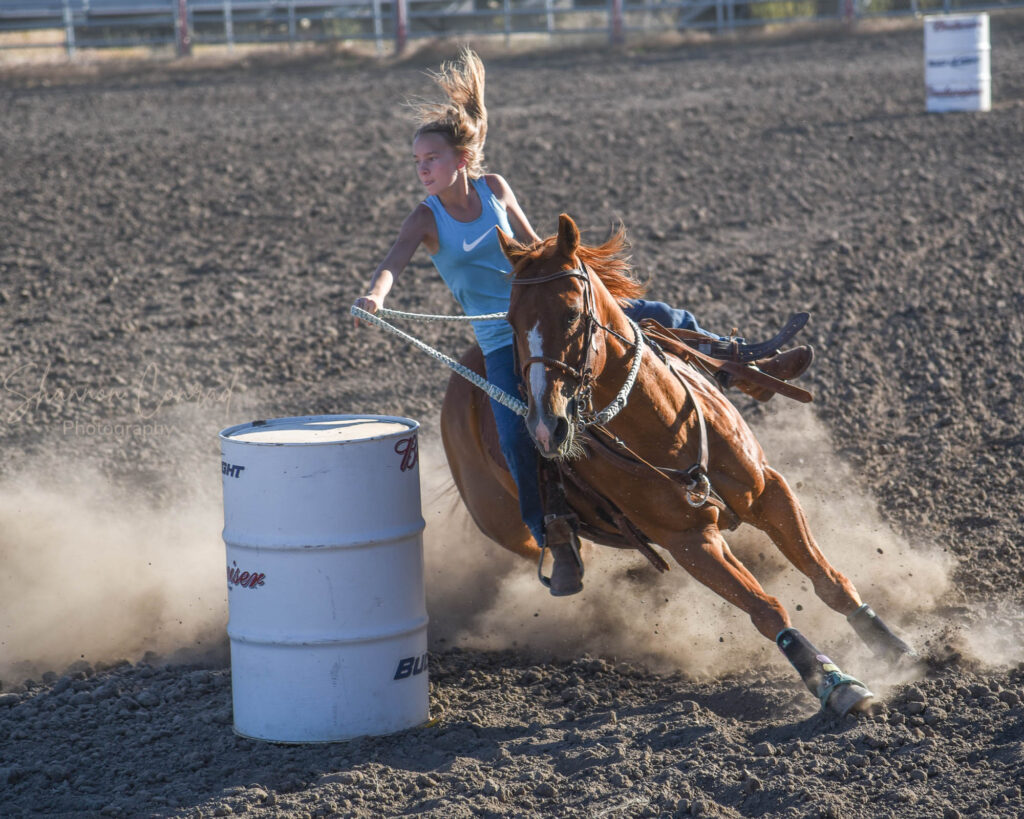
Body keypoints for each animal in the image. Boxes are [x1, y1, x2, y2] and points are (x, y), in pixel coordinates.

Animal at [440, 216, 913, 716]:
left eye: (570, 314)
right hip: (509, 529)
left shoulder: (770, 490)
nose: (547, 425)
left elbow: (828, 579)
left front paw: (892, 646)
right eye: (511, 322)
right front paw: (835, 682)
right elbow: (767, 609)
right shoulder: (690, 542)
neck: (665, 426)